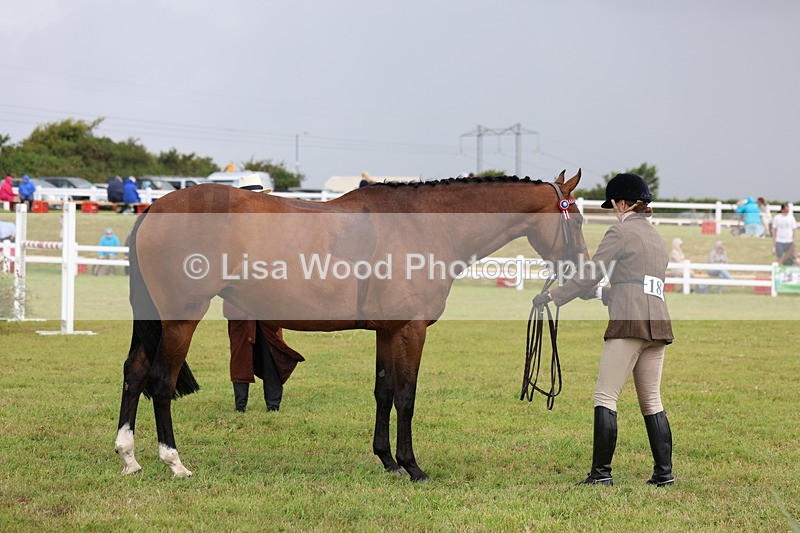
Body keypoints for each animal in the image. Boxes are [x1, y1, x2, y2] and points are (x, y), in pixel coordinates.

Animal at [115, 170, 587, 482]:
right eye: (579, 220)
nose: (584, 277)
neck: (425, 224)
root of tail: (155, 207)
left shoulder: (388, 331)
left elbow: (383, 391)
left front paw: (388, 461)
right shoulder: (411, 330)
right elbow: (406, 396)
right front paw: (413, 467)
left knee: (134, 374)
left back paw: (129, 457)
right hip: (181, 318)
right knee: (160, 382)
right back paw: (174, 463)